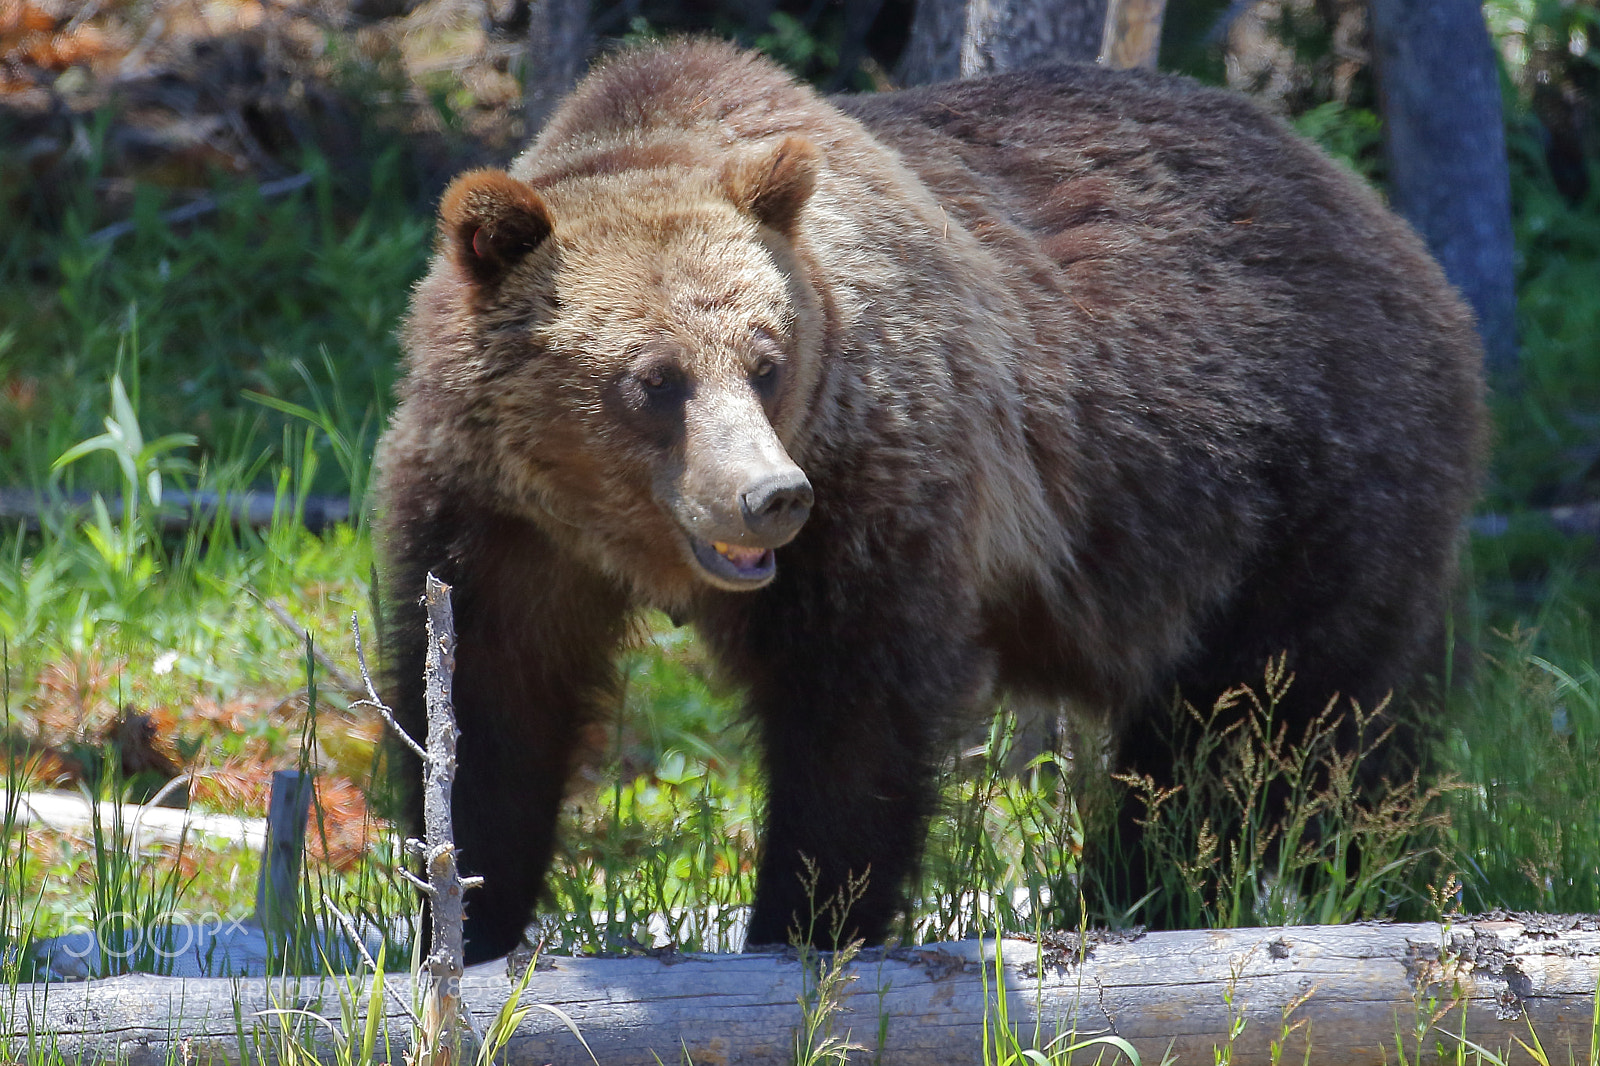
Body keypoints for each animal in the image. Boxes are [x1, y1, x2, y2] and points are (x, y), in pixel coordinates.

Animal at [375, 39, 1486, 964]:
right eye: (654, 380)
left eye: (766, 362)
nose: (769, 496)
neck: (606, 524)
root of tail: (1390, 228)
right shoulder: (493, 519)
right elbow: (489, 710)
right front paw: (463, 926)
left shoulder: (877, 483)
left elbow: (854, 722)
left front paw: (801, 925)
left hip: (1306, 490)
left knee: (1263, 735)